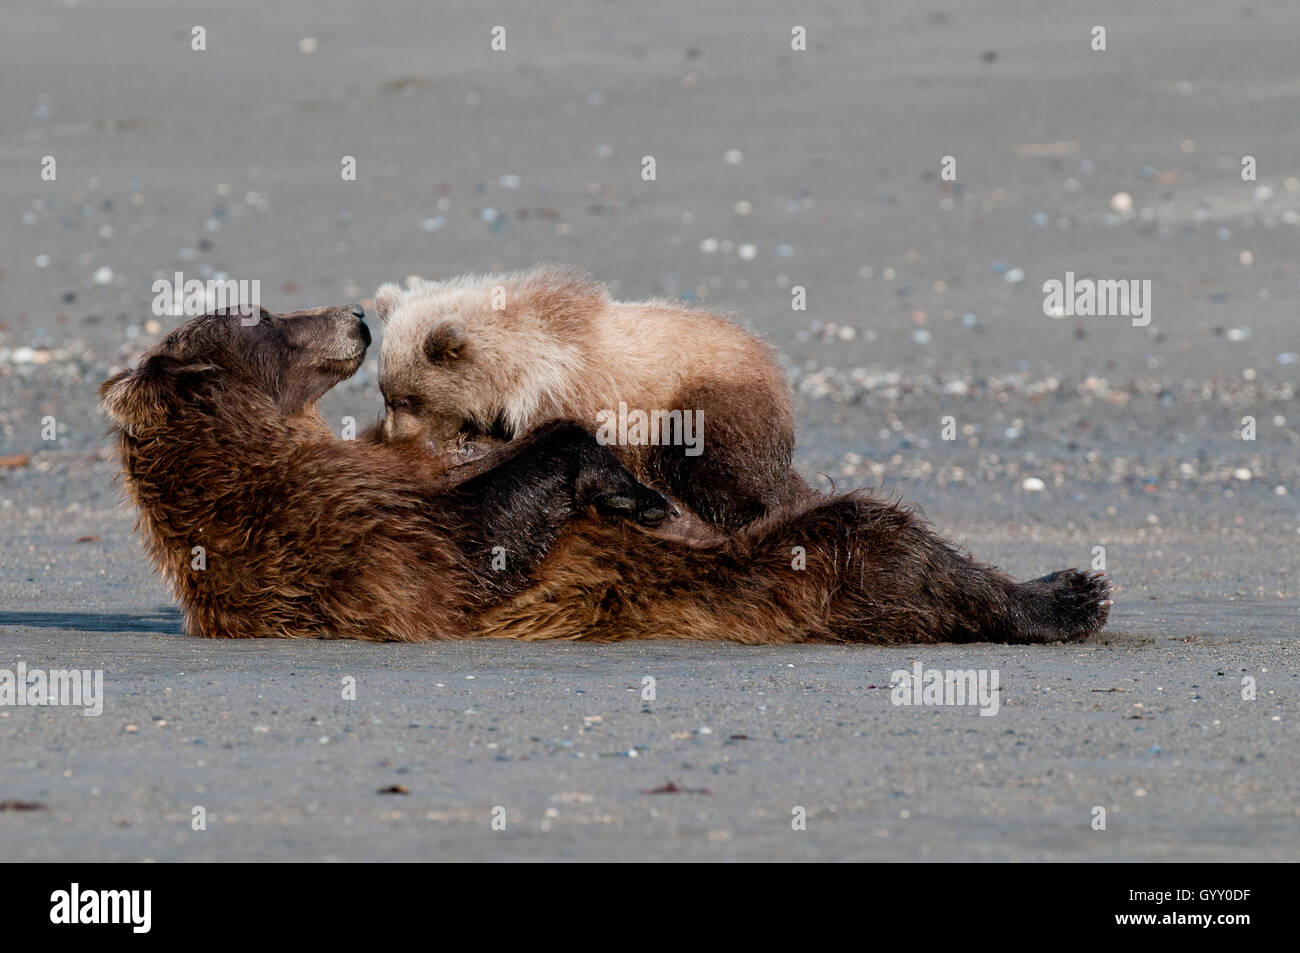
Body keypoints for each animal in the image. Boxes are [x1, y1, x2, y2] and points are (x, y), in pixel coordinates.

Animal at [371, 265, 806, 527]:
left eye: (405, 399)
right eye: (385, 393)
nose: (392, 438)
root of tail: (773, 364)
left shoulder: (580, 392)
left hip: (712, 399)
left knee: (716, 468)